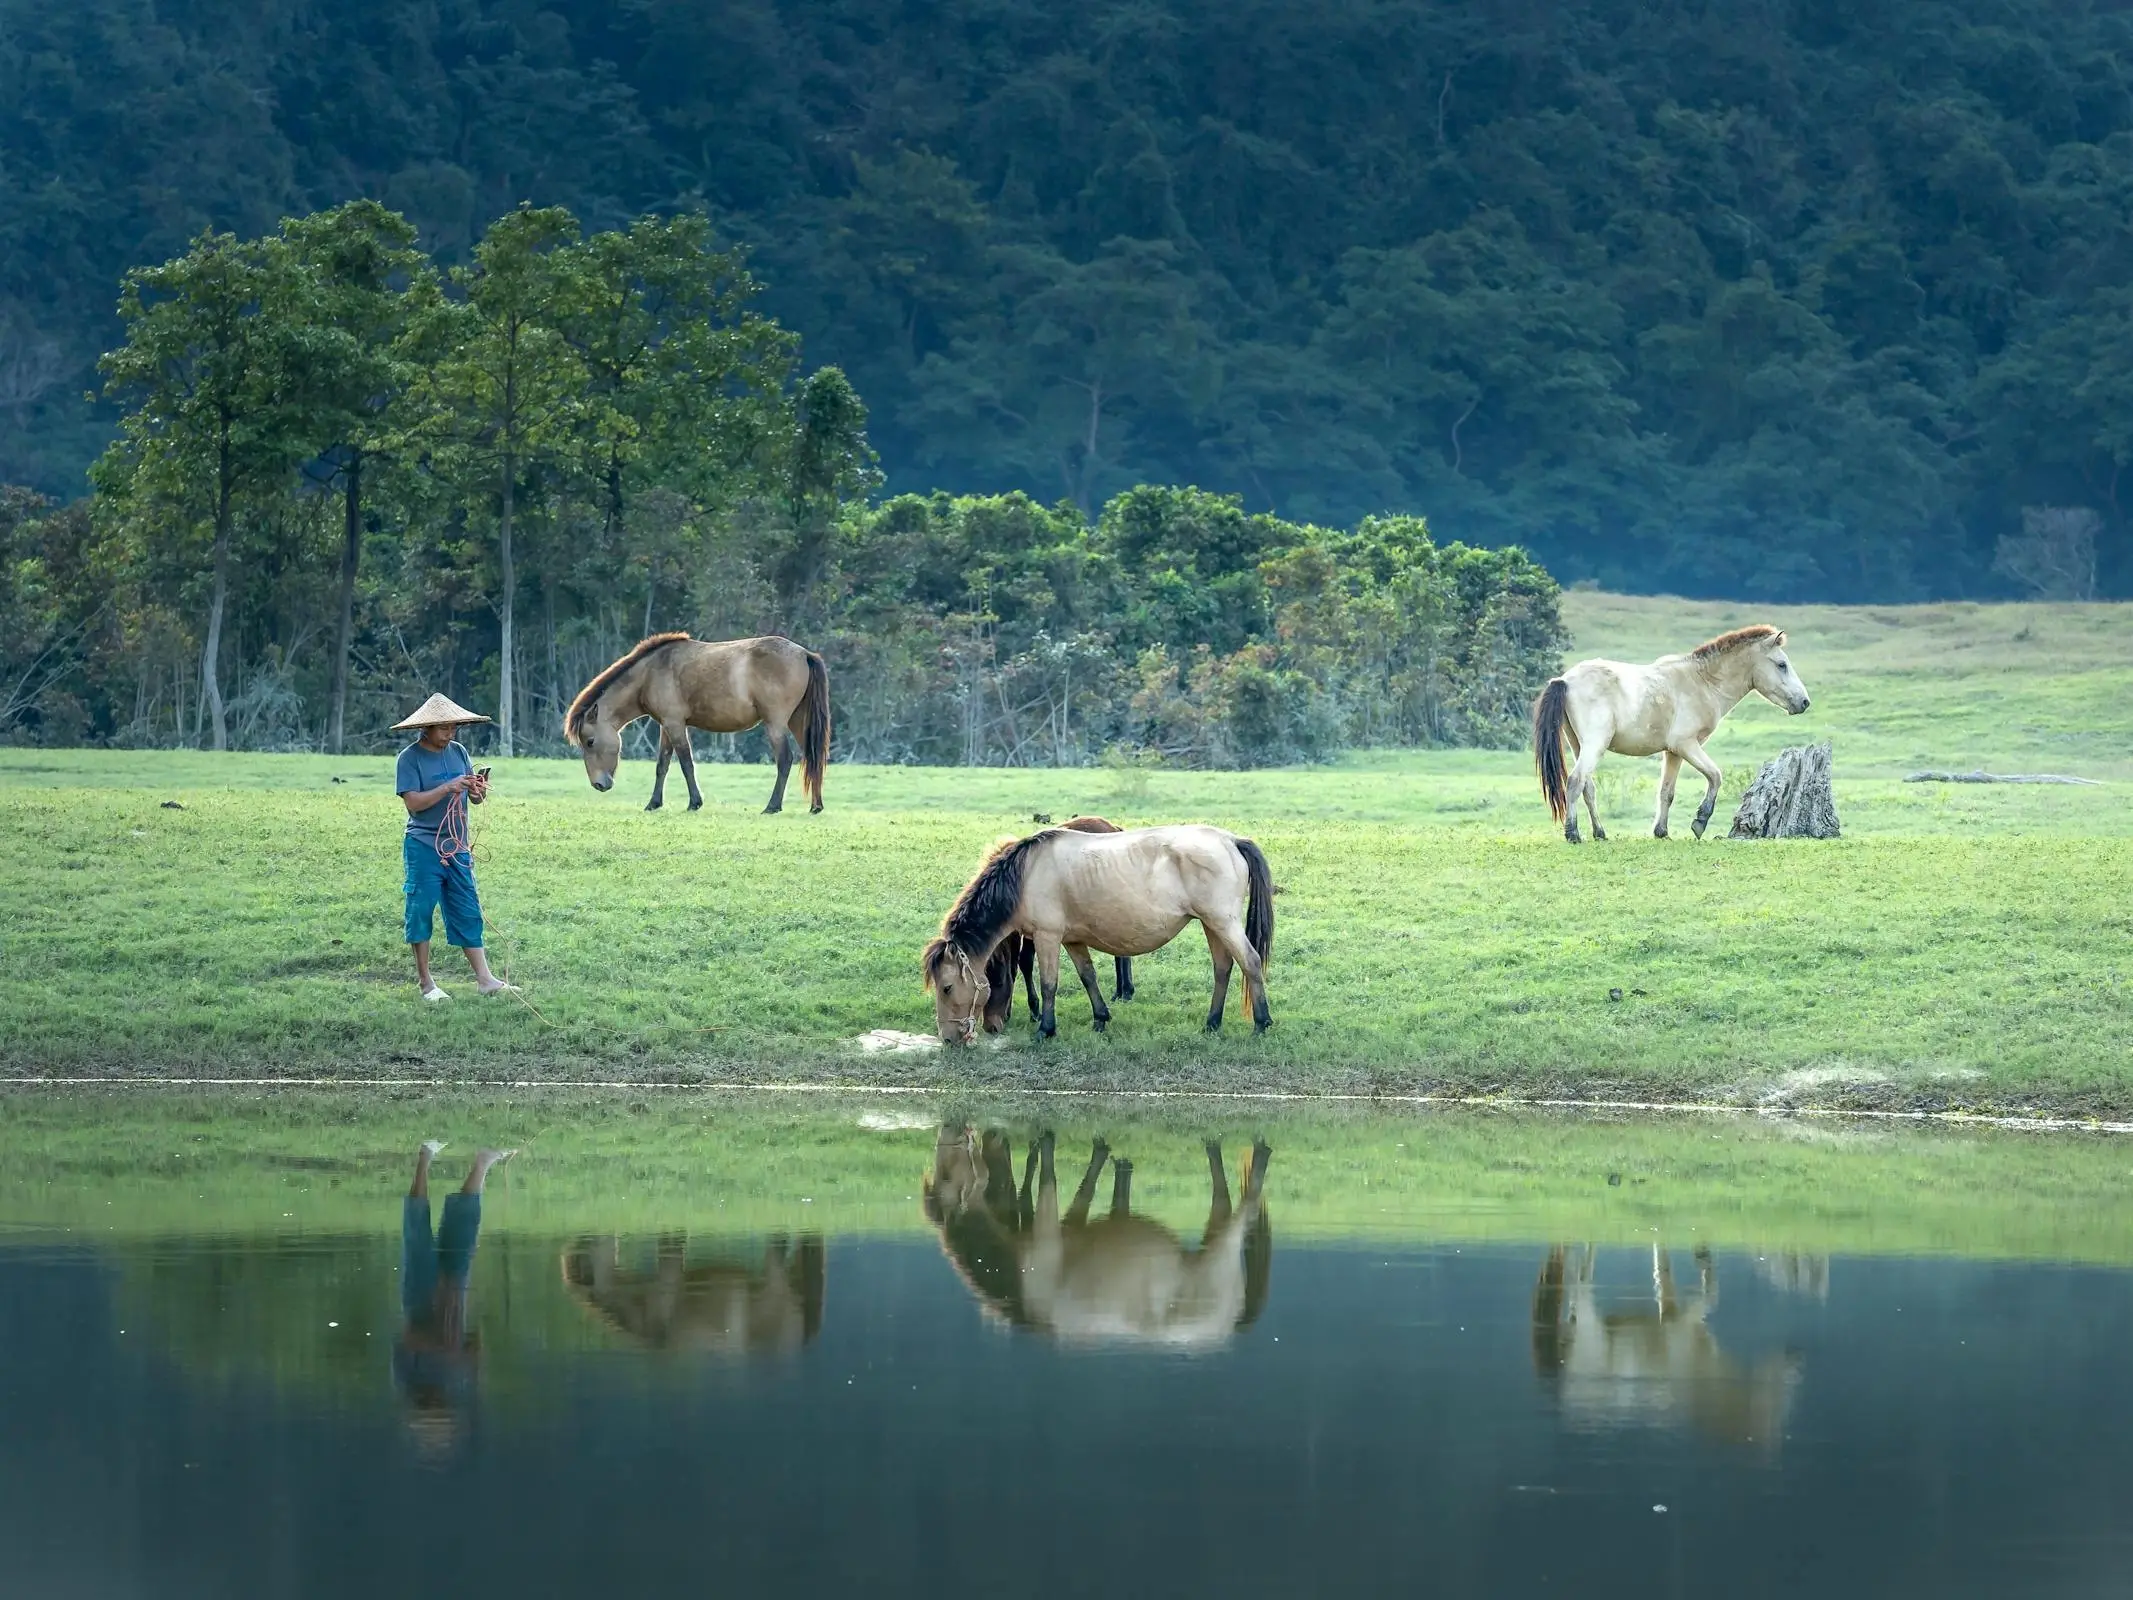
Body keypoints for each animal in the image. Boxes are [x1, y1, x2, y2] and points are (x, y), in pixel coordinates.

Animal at [563, 635, 827, 819]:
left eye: (590, 742)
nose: (599, 784)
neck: (650, 673)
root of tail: (804, 653)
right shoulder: (666, 726)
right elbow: (662, 765)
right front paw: (653, 803)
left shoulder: (675, 724)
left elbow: (686, 763)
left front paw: (694, 803)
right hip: (797, 721)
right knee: (813, 759)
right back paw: (816, 806)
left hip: (775, 723)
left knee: (785, 759)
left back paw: (772, 806)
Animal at [985, 819, 1134, 1032]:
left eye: (996, 981)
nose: (993, 1025)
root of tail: (1114, 827)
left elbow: (1024, 961)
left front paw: (1035, 1010)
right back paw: (1122, 991)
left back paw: (1125, 991)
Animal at [1527, 627, 1808, 844]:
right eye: (1782, 665)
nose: (1804, 702)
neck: (1702, 682)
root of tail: (1565, 680)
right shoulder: (1687, 745)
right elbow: (1715, 776)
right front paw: (1700, 821)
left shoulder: (1673, 752)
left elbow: (1667, 792)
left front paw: (1661, 832)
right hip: (1594, 745)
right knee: (1576, 782)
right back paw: (1573, 834)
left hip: (1578, 745)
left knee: (1588, 787)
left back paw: (1600, 833)